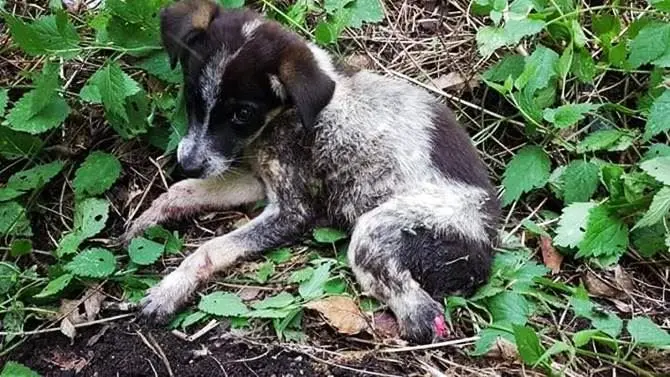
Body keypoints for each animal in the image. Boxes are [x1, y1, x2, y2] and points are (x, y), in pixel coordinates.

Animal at [129, 0, 502, 342]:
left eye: (243, 114)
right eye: (192, 95)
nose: (186, 163)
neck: (288, 116)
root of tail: (486, 248)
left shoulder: (292, 211)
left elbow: (210, 248)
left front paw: (168, 290)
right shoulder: (261, 179)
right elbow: (189, 190)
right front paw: (150, 216)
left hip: (380, 229)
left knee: (416, 307)